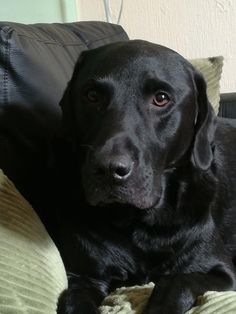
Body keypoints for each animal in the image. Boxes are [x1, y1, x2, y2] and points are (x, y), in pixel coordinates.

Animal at [55, 40, 236, 312]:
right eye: (92, 95)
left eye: (161, 98)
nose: (109, 170)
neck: (138, 222)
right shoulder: (84, 277)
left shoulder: (222, 272)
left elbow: (177, 280)